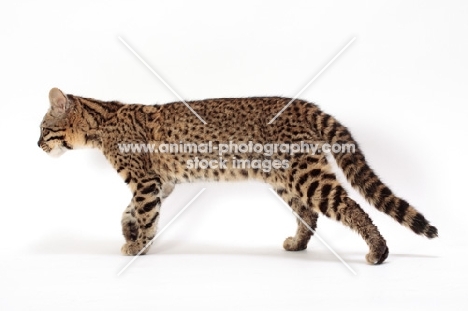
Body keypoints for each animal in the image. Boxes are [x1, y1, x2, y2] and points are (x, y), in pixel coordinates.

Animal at [38, 88, 436, 266]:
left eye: (42, 128)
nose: (36, 144)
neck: (101, 122)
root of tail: (304, 104)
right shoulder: (162, 183)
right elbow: (129, 211)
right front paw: (129, 231)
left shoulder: (146, 183)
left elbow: (145, 215)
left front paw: (139, 246)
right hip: (286, 178)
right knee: (309, 213)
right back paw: (298, 243)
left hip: (306, 175)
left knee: (351, 207)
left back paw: (378, 250)